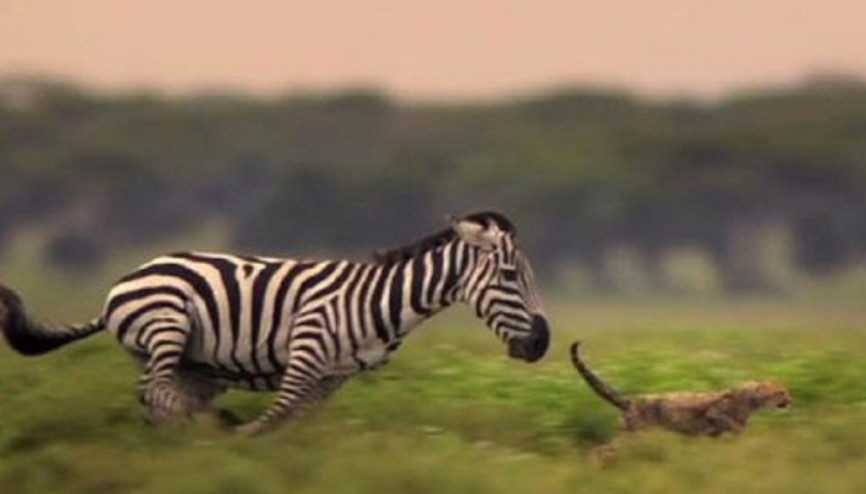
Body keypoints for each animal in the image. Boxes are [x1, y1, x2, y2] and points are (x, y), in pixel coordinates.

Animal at [0, 211, 550, 434]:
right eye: (509, 276)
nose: (543, 344)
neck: (384, 301)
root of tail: (124, 281)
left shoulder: (335, 375)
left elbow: (295, 419)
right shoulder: (308, 344)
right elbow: (277, 414)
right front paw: (242, 439)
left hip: (194, 364)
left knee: (161, 397)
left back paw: (189, 436)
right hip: (167, 323)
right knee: (156, 393)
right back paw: (204, 434)